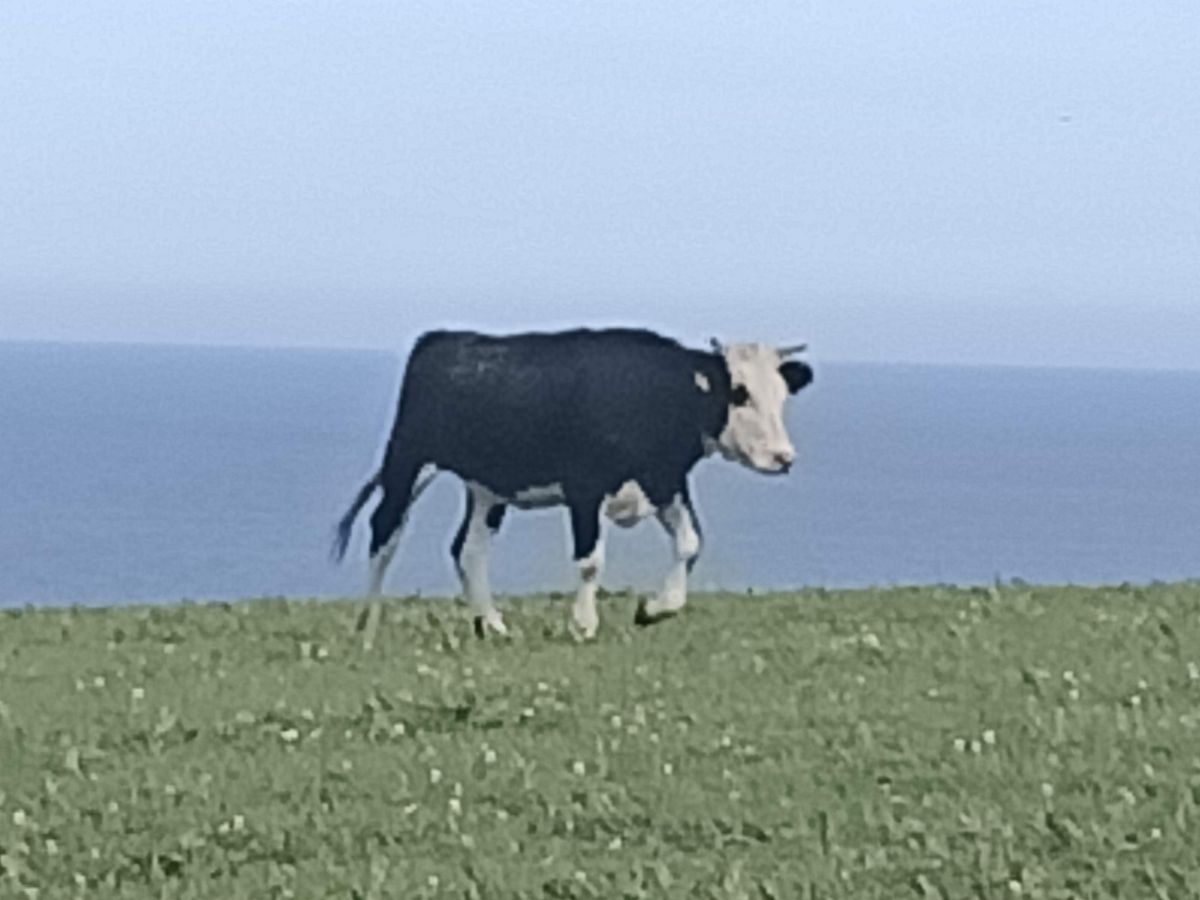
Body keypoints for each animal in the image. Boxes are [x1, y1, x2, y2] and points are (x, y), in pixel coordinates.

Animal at [332, 327, 813, 638]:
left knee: (468, 549)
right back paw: (367, 625)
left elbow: (690, 542)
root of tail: (443, 338)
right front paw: (583, 624)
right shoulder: (585, 487)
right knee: (384, 530)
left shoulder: (663, 479)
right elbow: (590, 561)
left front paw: (654, 609)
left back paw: (493, 624)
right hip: (408, 458)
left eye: (781, 395)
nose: (784, 457)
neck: (657, 393)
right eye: (740, 393)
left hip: (487, 486)